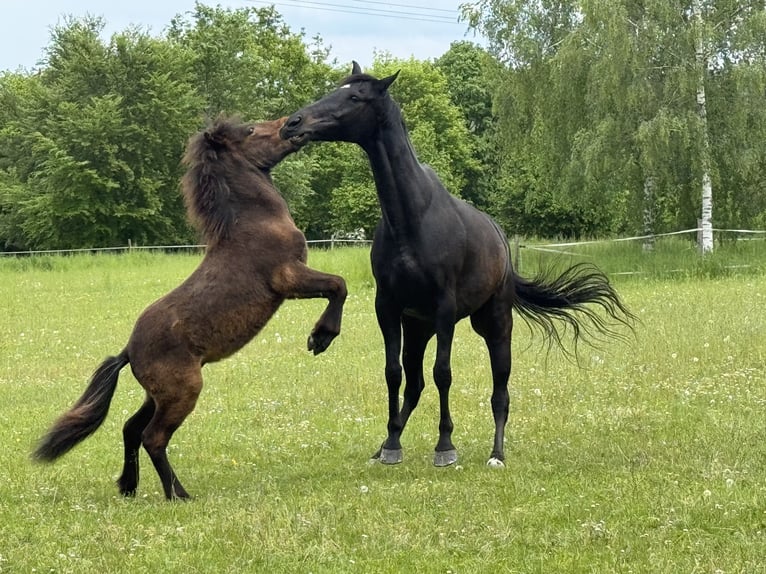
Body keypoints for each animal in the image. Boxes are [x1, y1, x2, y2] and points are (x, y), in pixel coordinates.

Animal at [33, 117, 348, 500]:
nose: (293, 123)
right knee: (153, 437)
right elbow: (338, 285)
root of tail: (128, 351)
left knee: (130, 429)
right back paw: (178, 495)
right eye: (251, 130)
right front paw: (320, 338)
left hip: (157, 396)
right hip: (182, 392)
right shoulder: (289, 278)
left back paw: (129, 486)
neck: (255, 224)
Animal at [280, 62, 635, 468]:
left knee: (500, 390)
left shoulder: (445, 309)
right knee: (414, 384)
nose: (292, 123)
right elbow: (393, 373)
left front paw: (445, 445)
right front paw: (391, 444)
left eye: (355, 96)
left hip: (494, 324)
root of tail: (501, 241)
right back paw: (387, 443)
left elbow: (443, 373)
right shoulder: (388, 307)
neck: (412, 218)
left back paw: (496, 453)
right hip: (418, 329)